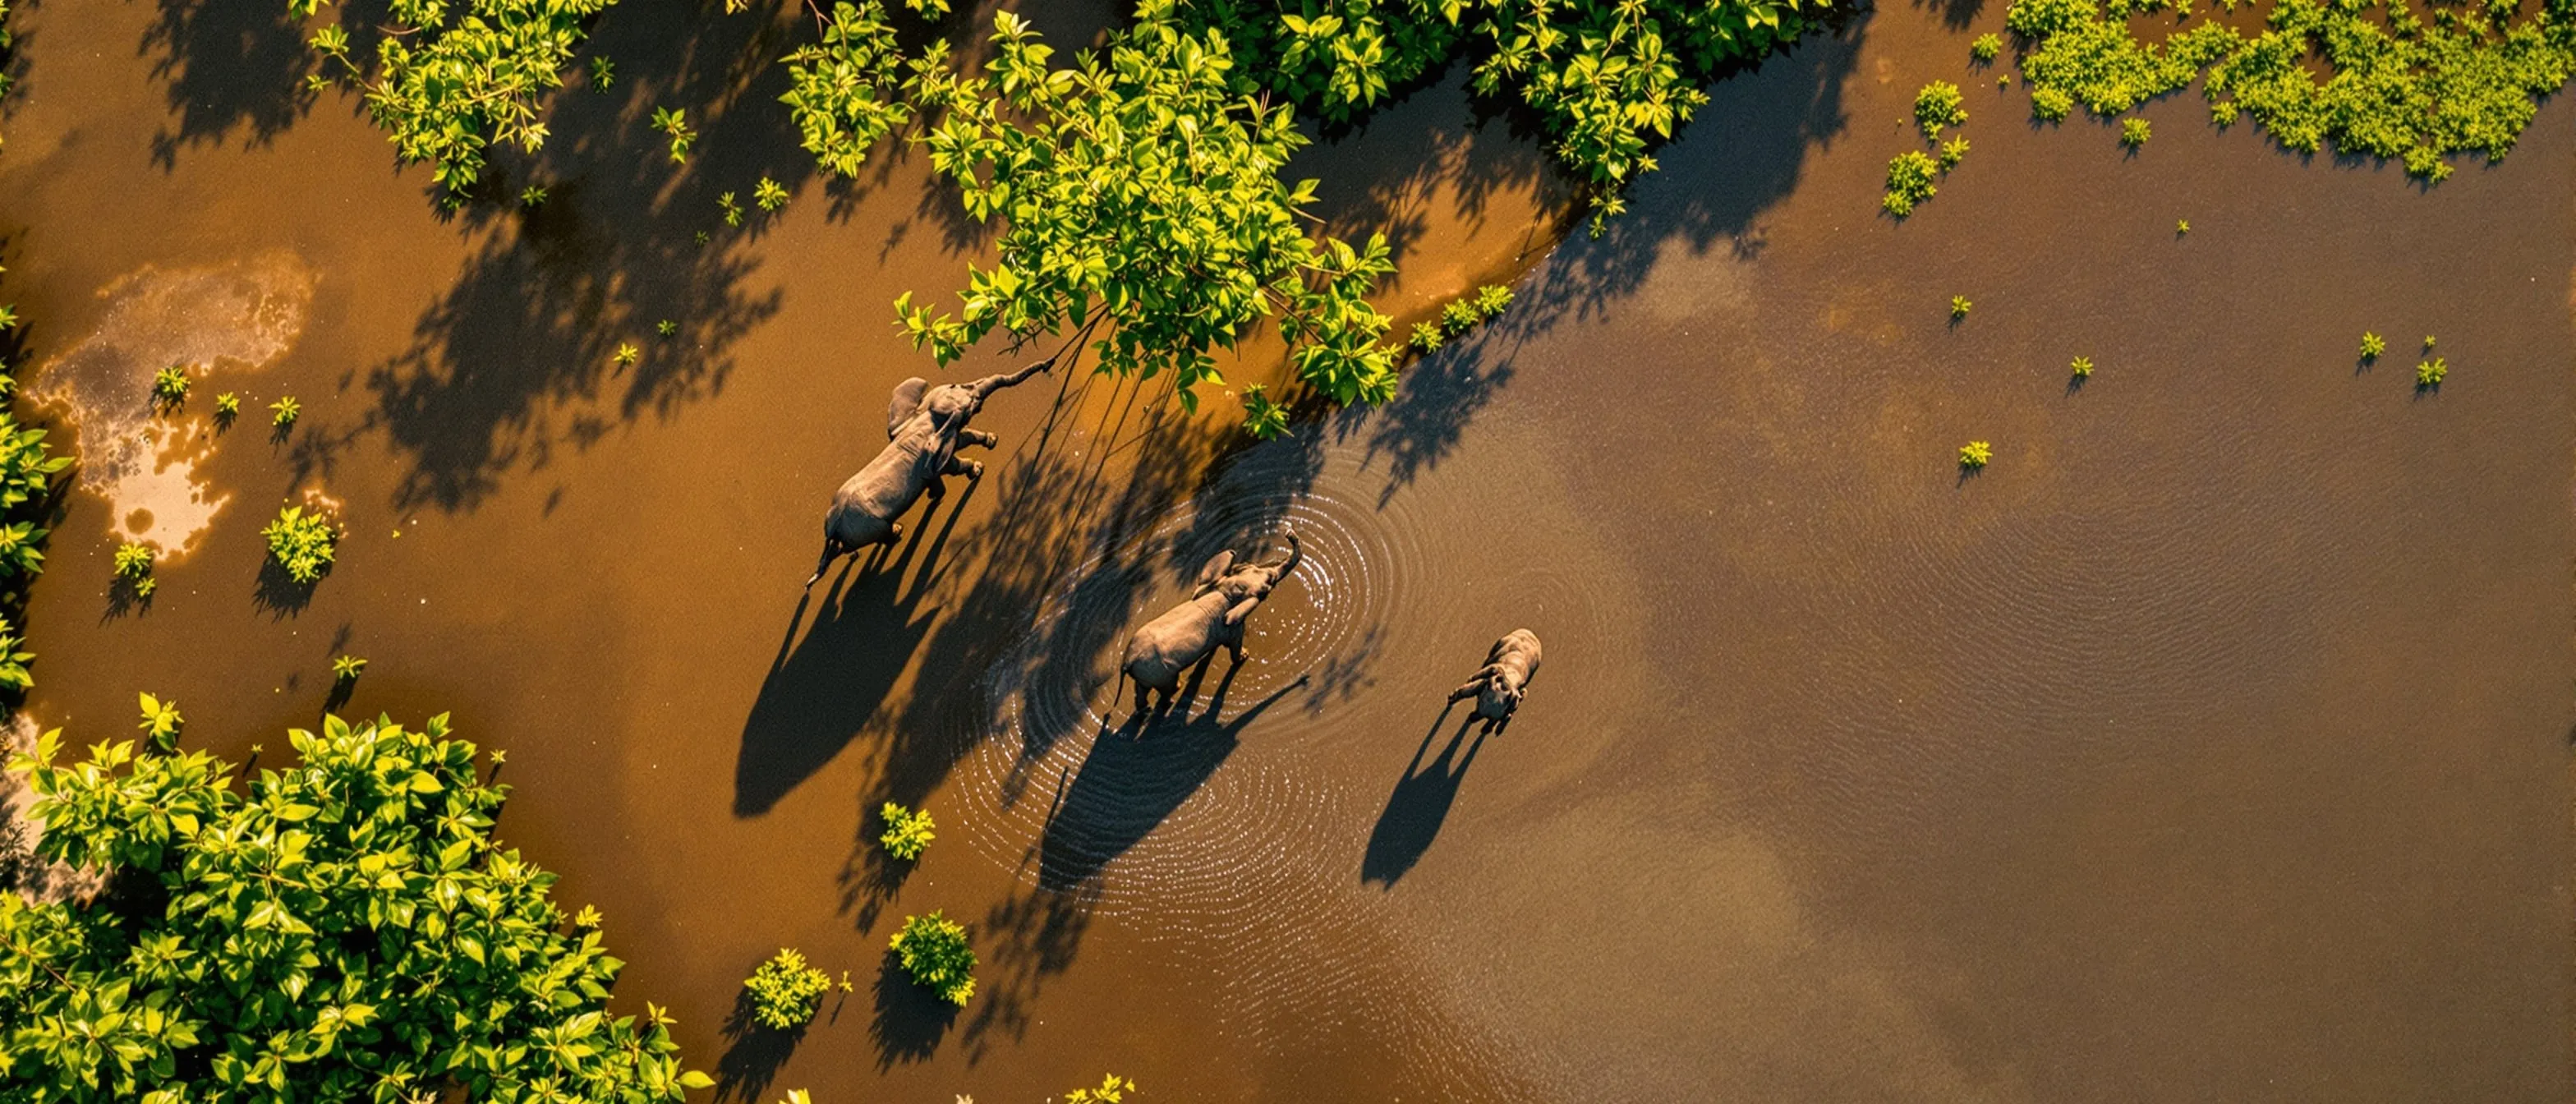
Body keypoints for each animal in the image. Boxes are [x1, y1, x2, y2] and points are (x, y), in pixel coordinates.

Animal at [805, 355, 1055, 588]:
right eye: (973, 404)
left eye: (957, 386)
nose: (1048, 365)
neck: (928, 414)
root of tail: (833, 527)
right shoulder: (935, 450)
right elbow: (952, 462)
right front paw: (977, 469)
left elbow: (963, 439)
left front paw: (990, 442)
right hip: (868, 526)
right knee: (883, 535)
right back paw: (897, 532)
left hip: (855, 532)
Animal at [1116, 532, 1303, 716]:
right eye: (1268, 588)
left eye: (1245, 565)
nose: (1289, 534)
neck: (1226, 592)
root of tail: (1127, 661)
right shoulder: (1233, 628)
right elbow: (1235, 645)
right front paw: (1244, 656)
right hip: (1160, 673)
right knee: (1166, 688)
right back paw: (1174, 693)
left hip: (1146, 674)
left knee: (1142, 689)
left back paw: (1145, 710)